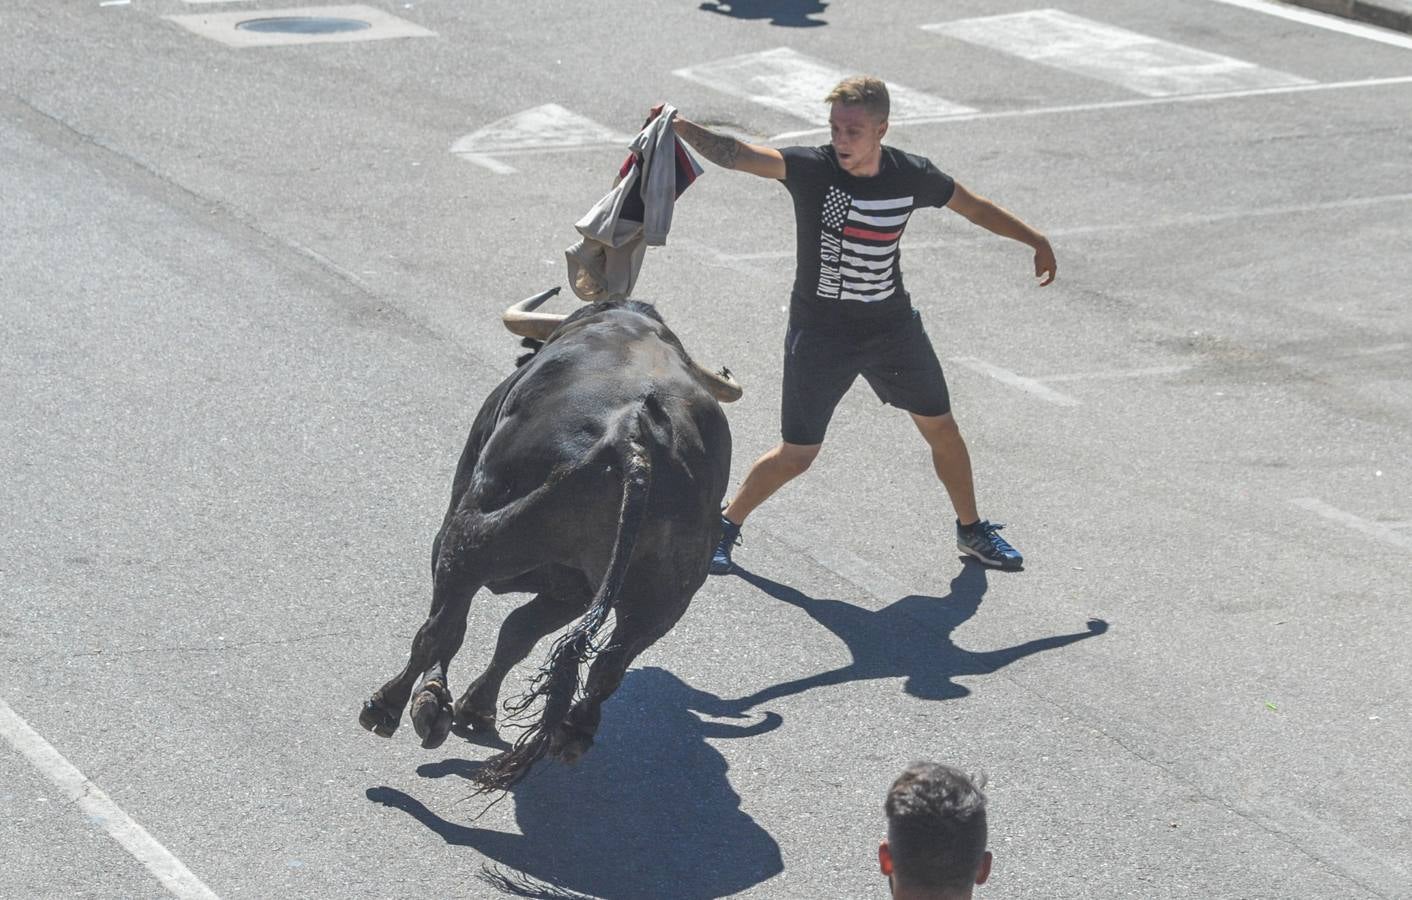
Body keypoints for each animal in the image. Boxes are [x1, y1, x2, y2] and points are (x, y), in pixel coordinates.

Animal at [358, 292, 739, 785]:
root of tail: (634, 434)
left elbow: (463, 627)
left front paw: (435, 704)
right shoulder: (572, 592)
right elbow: (517, 634)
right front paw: (475, 708)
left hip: (472, 537)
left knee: (442, 625)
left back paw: (387, 705)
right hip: (661, 603)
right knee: (609, 664)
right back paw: (573, 733)